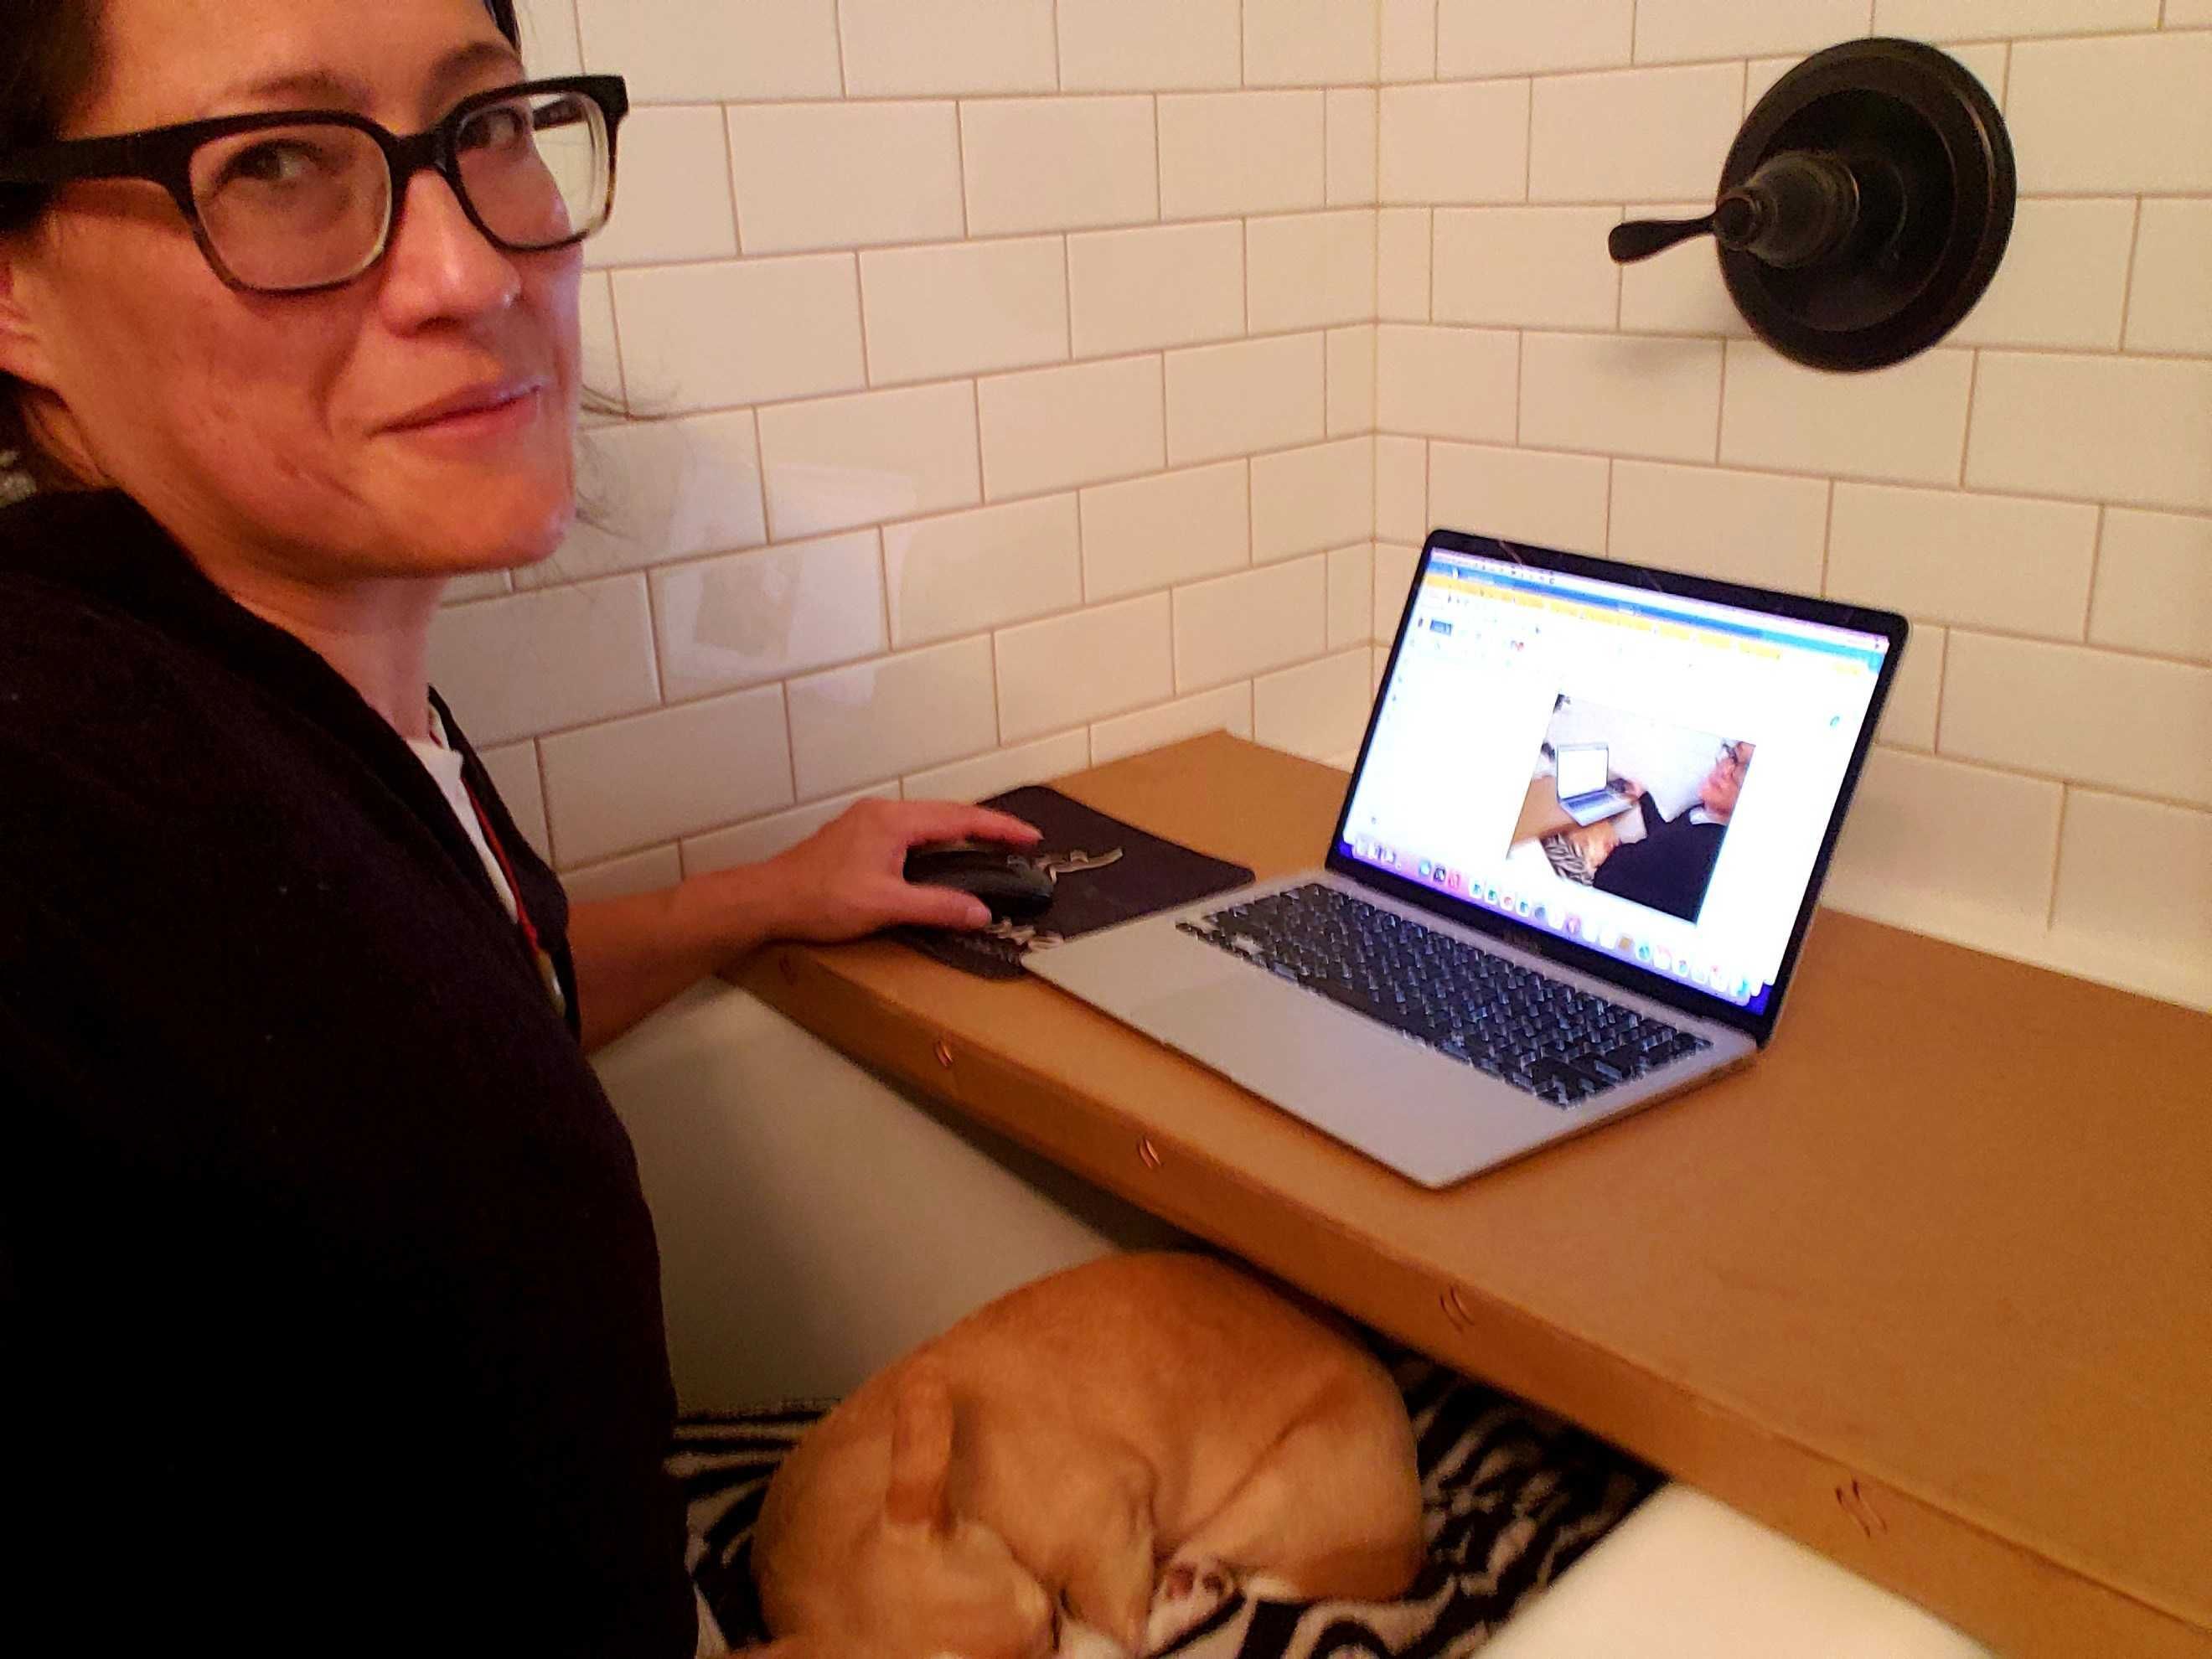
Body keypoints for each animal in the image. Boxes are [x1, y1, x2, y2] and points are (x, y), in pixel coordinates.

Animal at [752, 1256, 1424, 1659]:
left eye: (1048, 1626)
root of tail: (1409, 1540)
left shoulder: (1109, 1516)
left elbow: (1119, 1631)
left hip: (1271, 1493)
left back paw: (1192, 1589)